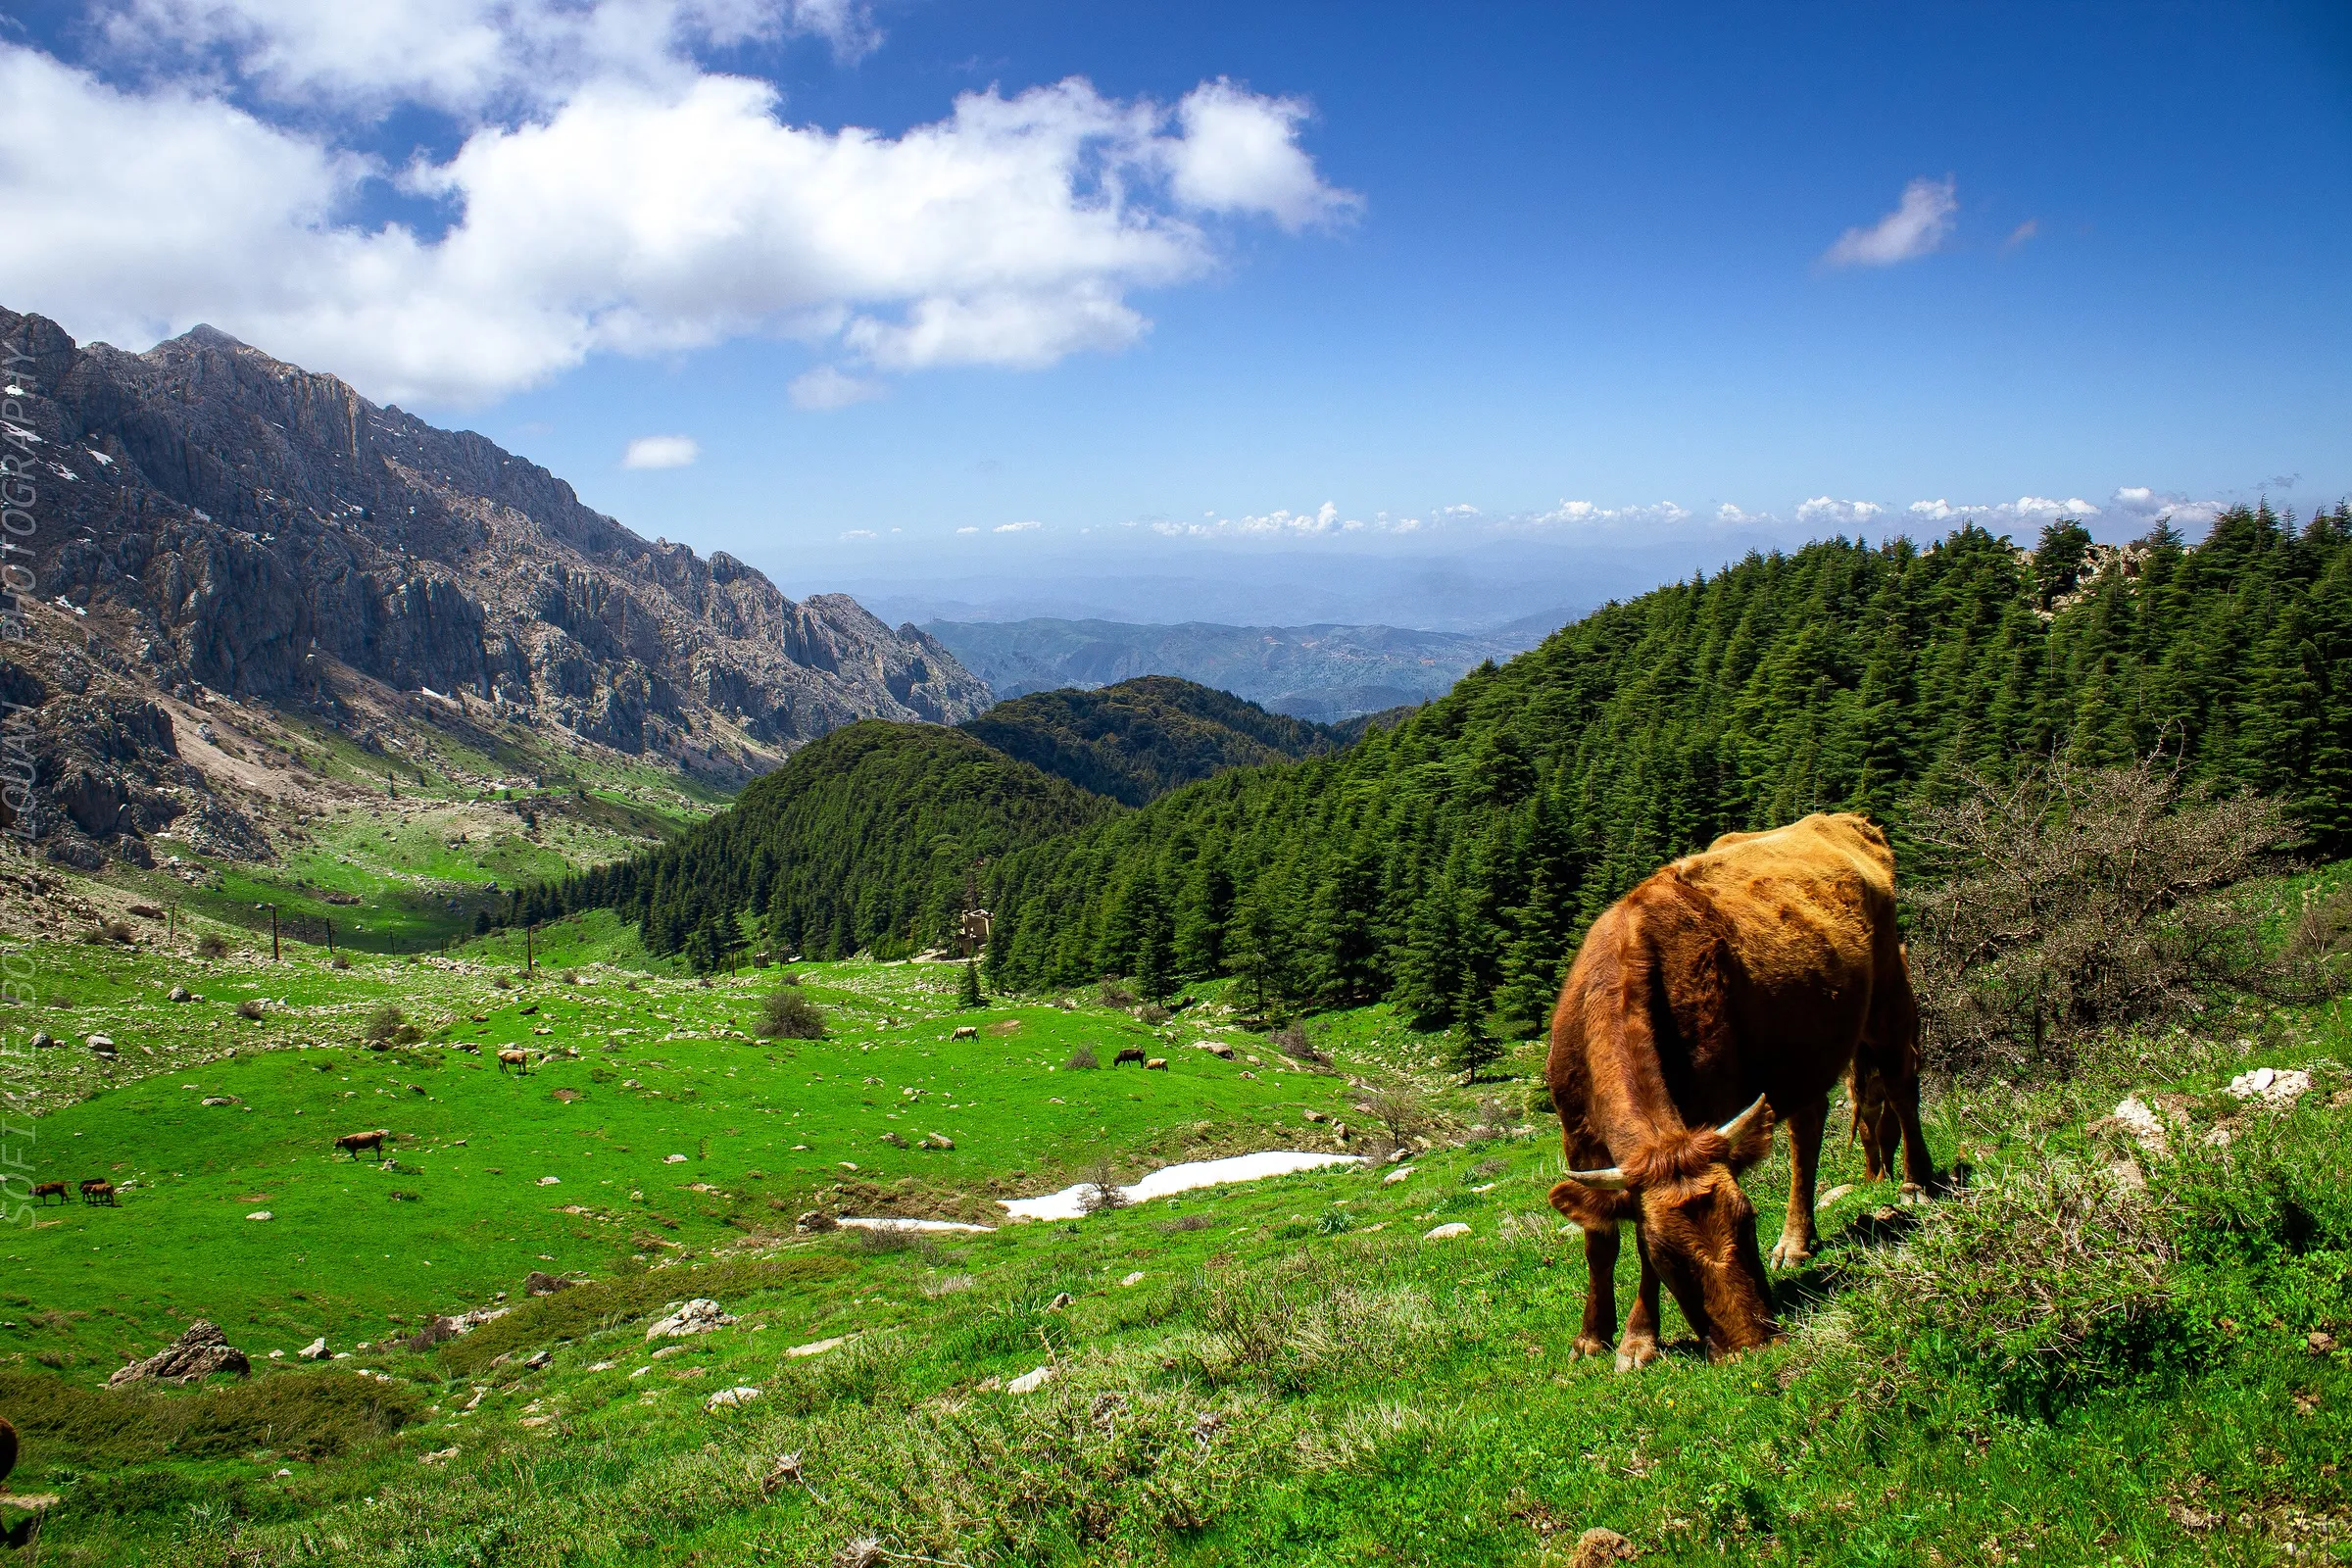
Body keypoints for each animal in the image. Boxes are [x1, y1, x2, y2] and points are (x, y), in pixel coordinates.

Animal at [1544, 812, 1936, 1371]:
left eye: (1747, 1220)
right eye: (1668, 1254)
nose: (1754, 1345)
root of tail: (1841, 819)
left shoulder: (1710, 1104)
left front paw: (1638, 1339)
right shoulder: (1577, 1134)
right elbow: (1600, 1241)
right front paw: (1592, 1335)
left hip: (1888, 997)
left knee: (1902, 1085)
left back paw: (1916, 1183)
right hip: (1803, 1052)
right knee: (1806, 1131)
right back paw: (1796, 1241)